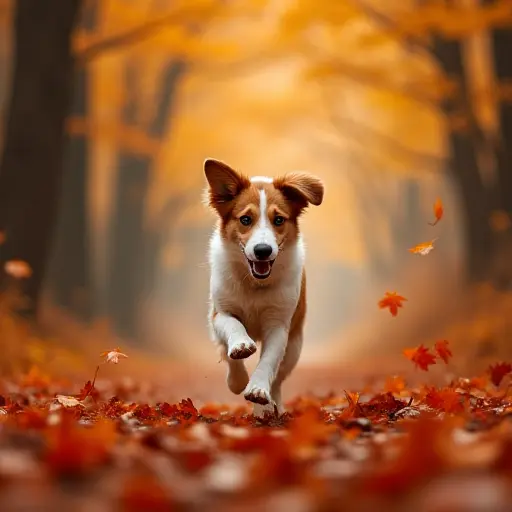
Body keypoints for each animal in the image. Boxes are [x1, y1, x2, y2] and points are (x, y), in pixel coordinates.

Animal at [204, 159, 324, 416]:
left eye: (278, 220)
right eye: (245, 220)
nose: (262, 250)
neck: (254, 284)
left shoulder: (279, 325)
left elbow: (268, 362)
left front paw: (258, 390)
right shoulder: (219, 313)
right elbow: (233, 330)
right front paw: (238, 369)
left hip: (294, 347)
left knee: (278, 378)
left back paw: (269, 408)